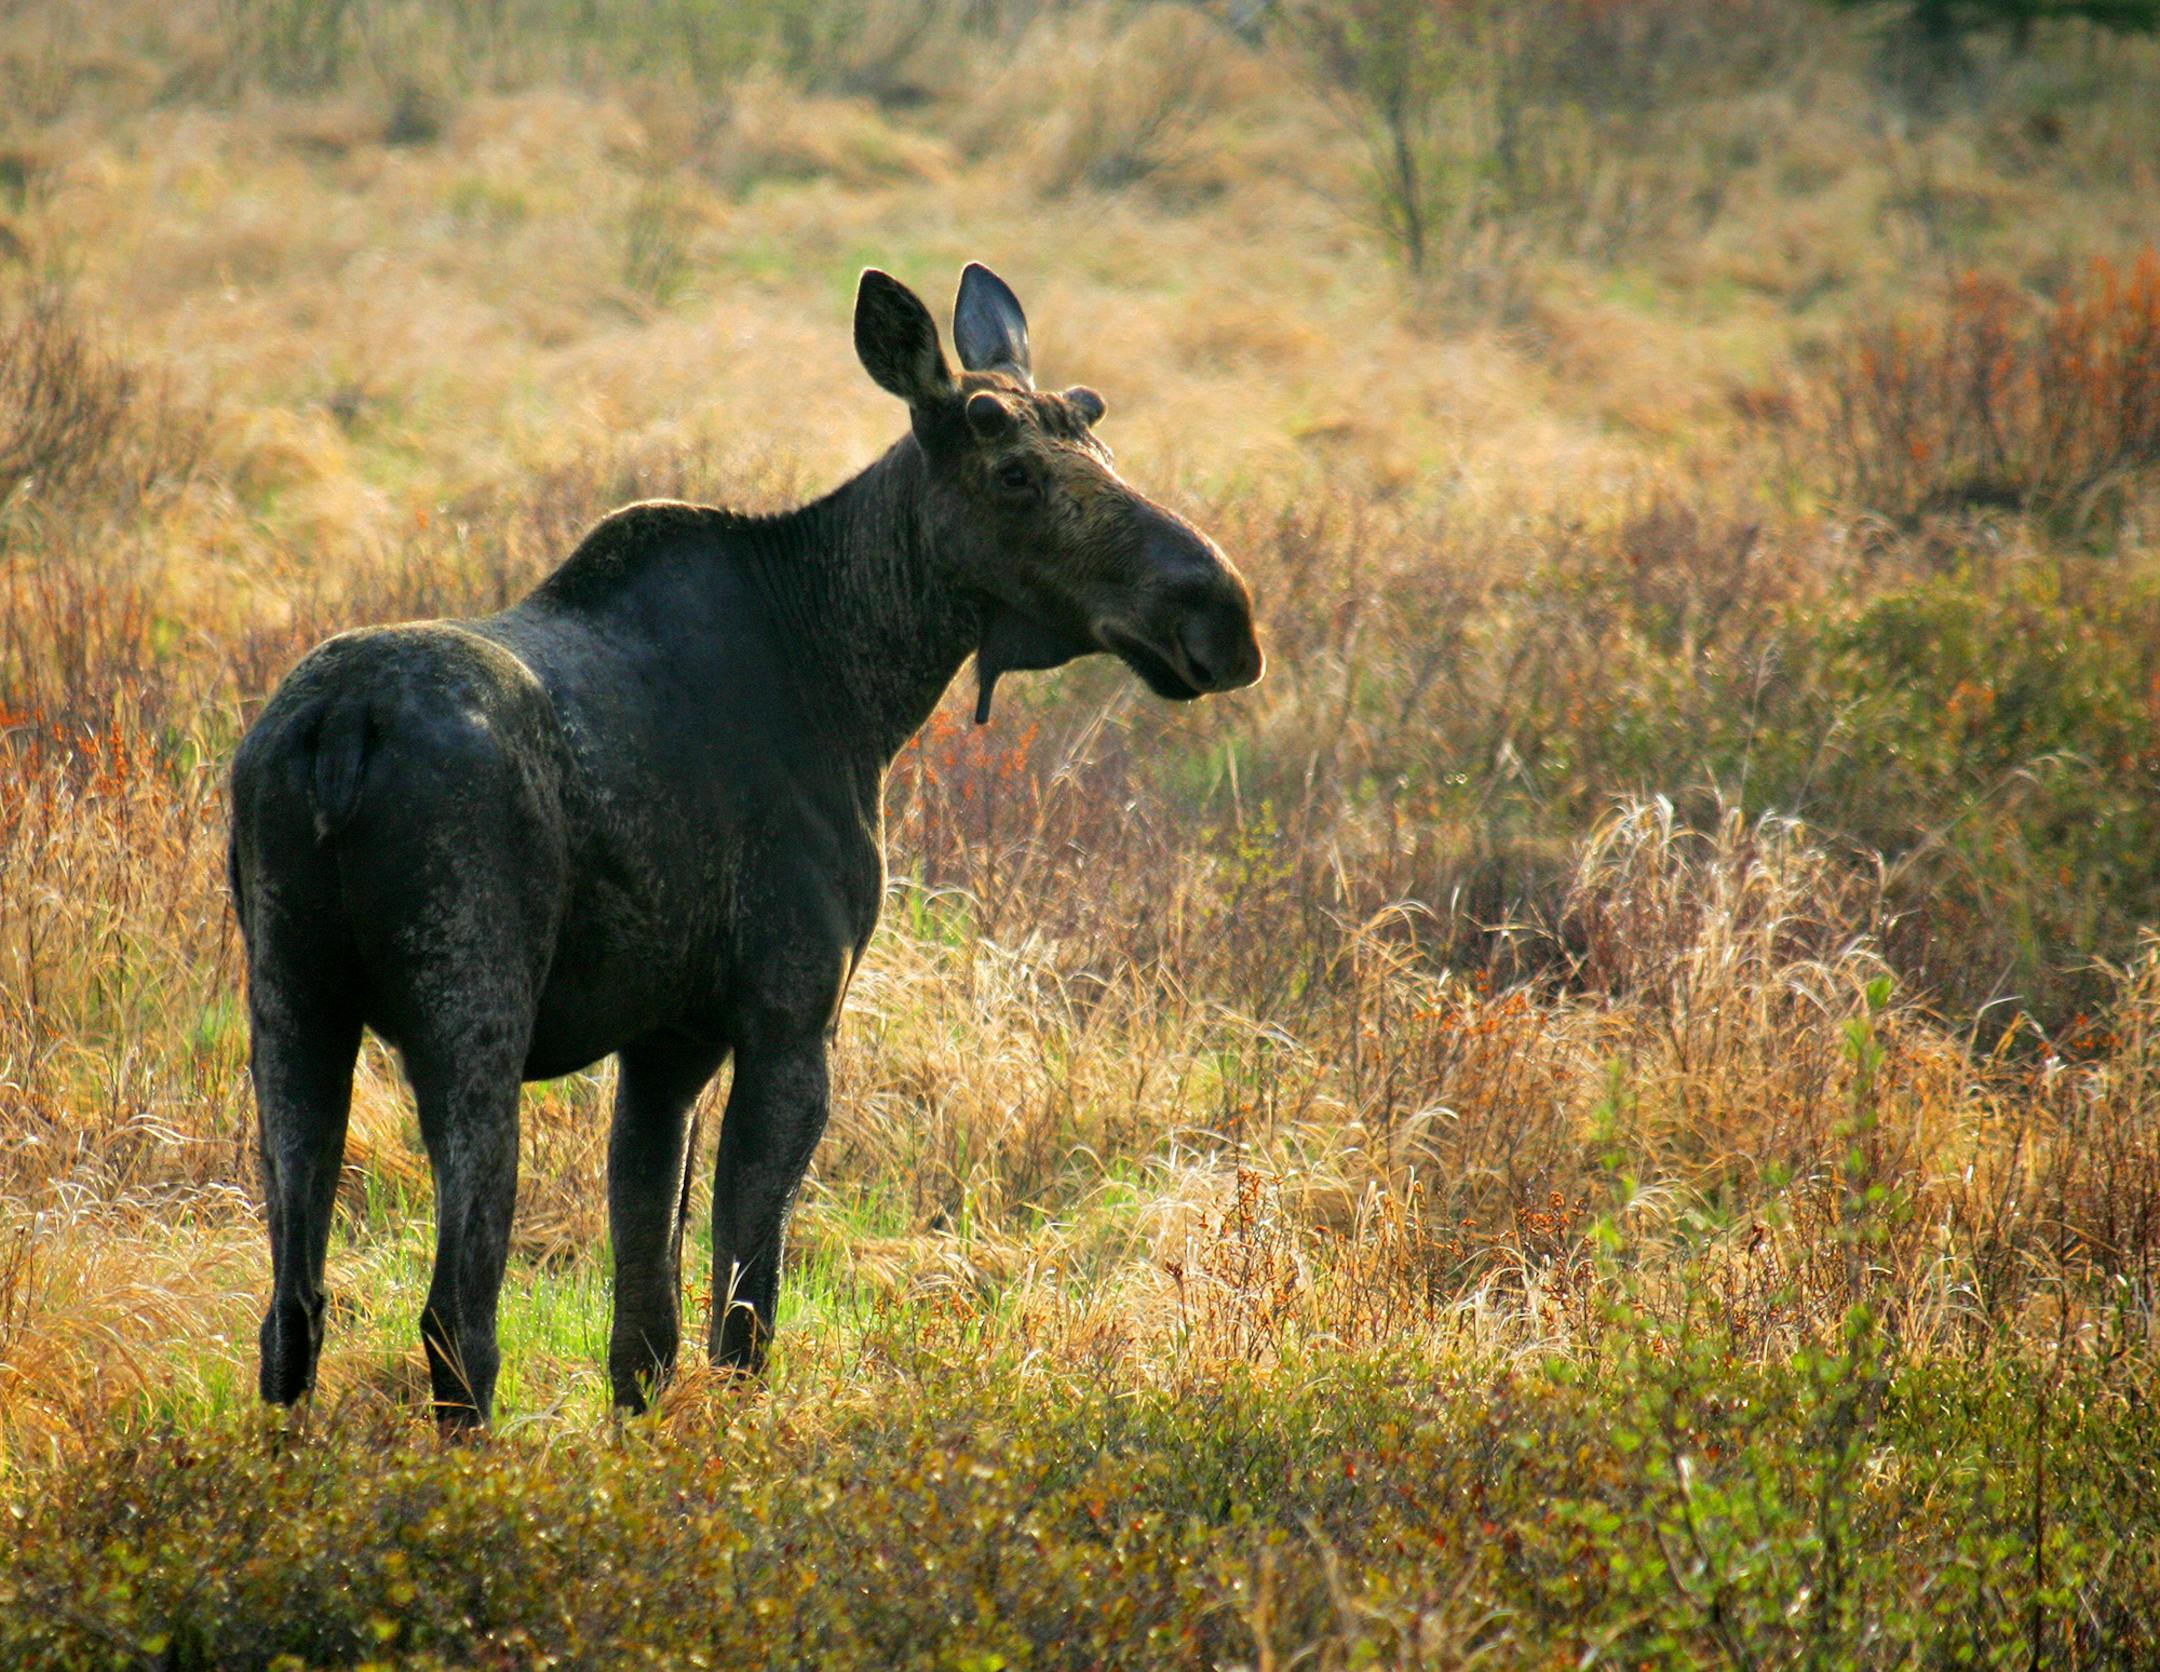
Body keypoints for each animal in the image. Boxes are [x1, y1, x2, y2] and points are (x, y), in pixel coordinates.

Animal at [227, 263, 1263, 1427]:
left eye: (1092, 425)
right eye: (1012, 471)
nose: (1223, 613)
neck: (862, 688)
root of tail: (336, 732)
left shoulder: (666, 1042)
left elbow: (642, 1328)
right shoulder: (789, 1016)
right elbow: (744, 1317)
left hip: (290, 1005)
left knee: (291, 1312)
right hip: (469, 1010)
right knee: (457, 1316)